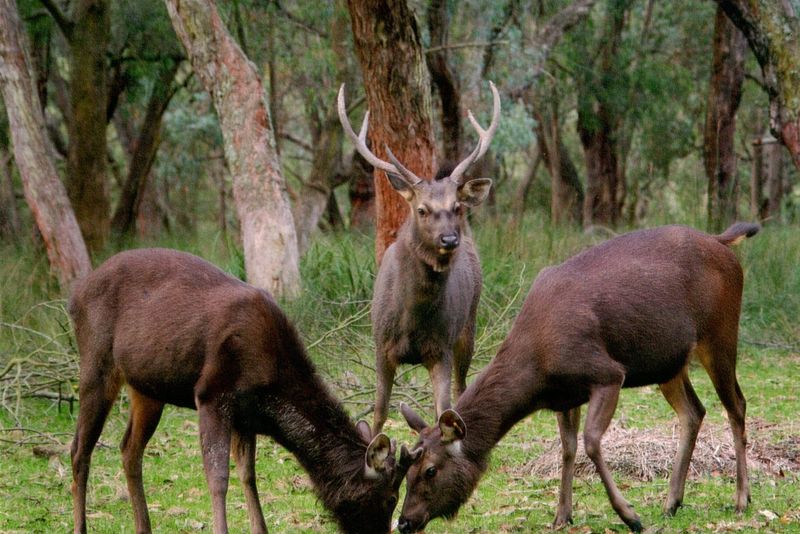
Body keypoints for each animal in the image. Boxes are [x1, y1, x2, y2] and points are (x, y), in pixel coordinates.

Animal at [68, 248, 422, 534]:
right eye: (390, 497)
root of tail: (74, 296)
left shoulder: (246, 414)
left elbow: (248, 475)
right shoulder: (211, 394)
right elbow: (218, 477)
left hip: (147, 388)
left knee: (129, 448)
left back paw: (143, 526)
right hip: (96, 363)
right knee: (79, 449)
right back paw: (81, 526)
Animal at [337, 82, 501, 435]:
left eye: (456, 206)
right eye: (422, 209)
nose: (449, 239)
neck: (412, 318)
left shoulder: (441, 347)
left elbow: (444, 410)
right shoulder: (381, 345)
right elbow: (380, 413)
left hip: (469, 325)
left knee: (461, 387)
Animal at [396, 222, 760, 533]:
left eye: (430, 469)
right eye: (407, 468)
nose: (404, 522)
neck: (538, 369)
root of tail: (722, 241)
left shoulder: (607, 374)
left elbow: (591, 440)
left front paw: (629, 515)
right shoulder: (565, 395)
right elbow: (568, 448)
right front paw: (562, 515)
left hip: (720, 333)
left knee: (736, 405)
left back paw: (741, 499)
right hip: (669, 363)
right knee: (694, 411)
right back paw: (672, 502)